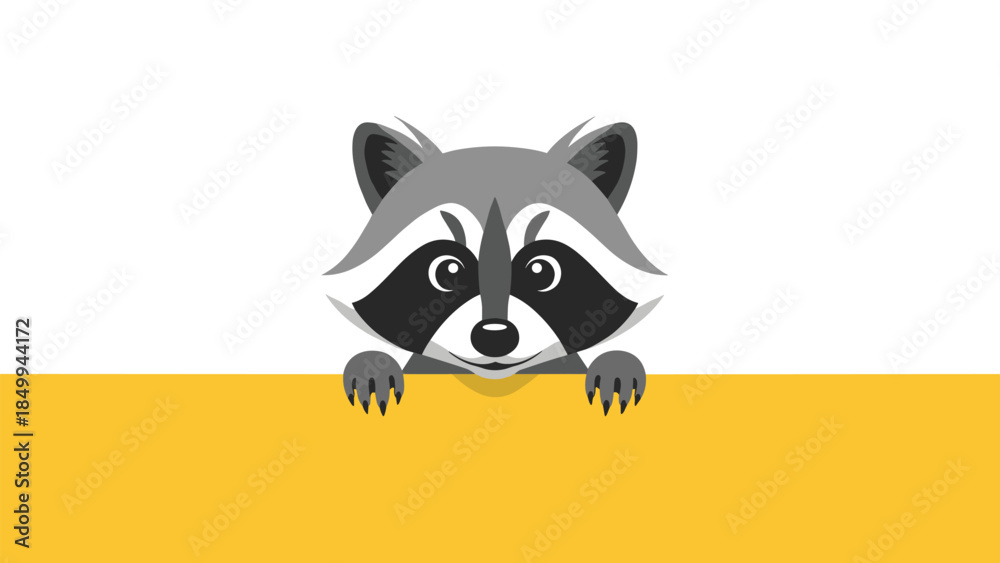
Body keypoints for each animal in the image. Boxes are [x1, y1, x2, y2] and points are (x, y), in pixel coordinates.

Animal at [327, 119, 665, 415]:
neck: (494, 382)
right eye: (447, 270)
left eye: (542, 270)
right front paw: (372, 367)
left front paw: (615, 365)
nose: (494, 336)